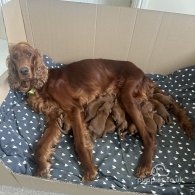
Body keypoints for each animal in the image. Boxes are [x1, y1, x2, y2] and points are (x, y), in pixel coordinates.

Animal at [7, 42, 192, 182]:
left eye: (29, 54)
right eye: (15, 57)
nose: (24, 71)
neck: (42, 84)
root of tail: (143, 73)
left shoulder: (74, 109)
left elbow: (79, 142)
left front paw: (89, 169)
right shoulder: (55, 117)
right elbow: (40, 146)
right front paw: (41, 167)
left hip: (127, 96)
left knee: (150, 137)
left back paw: (144, 166)